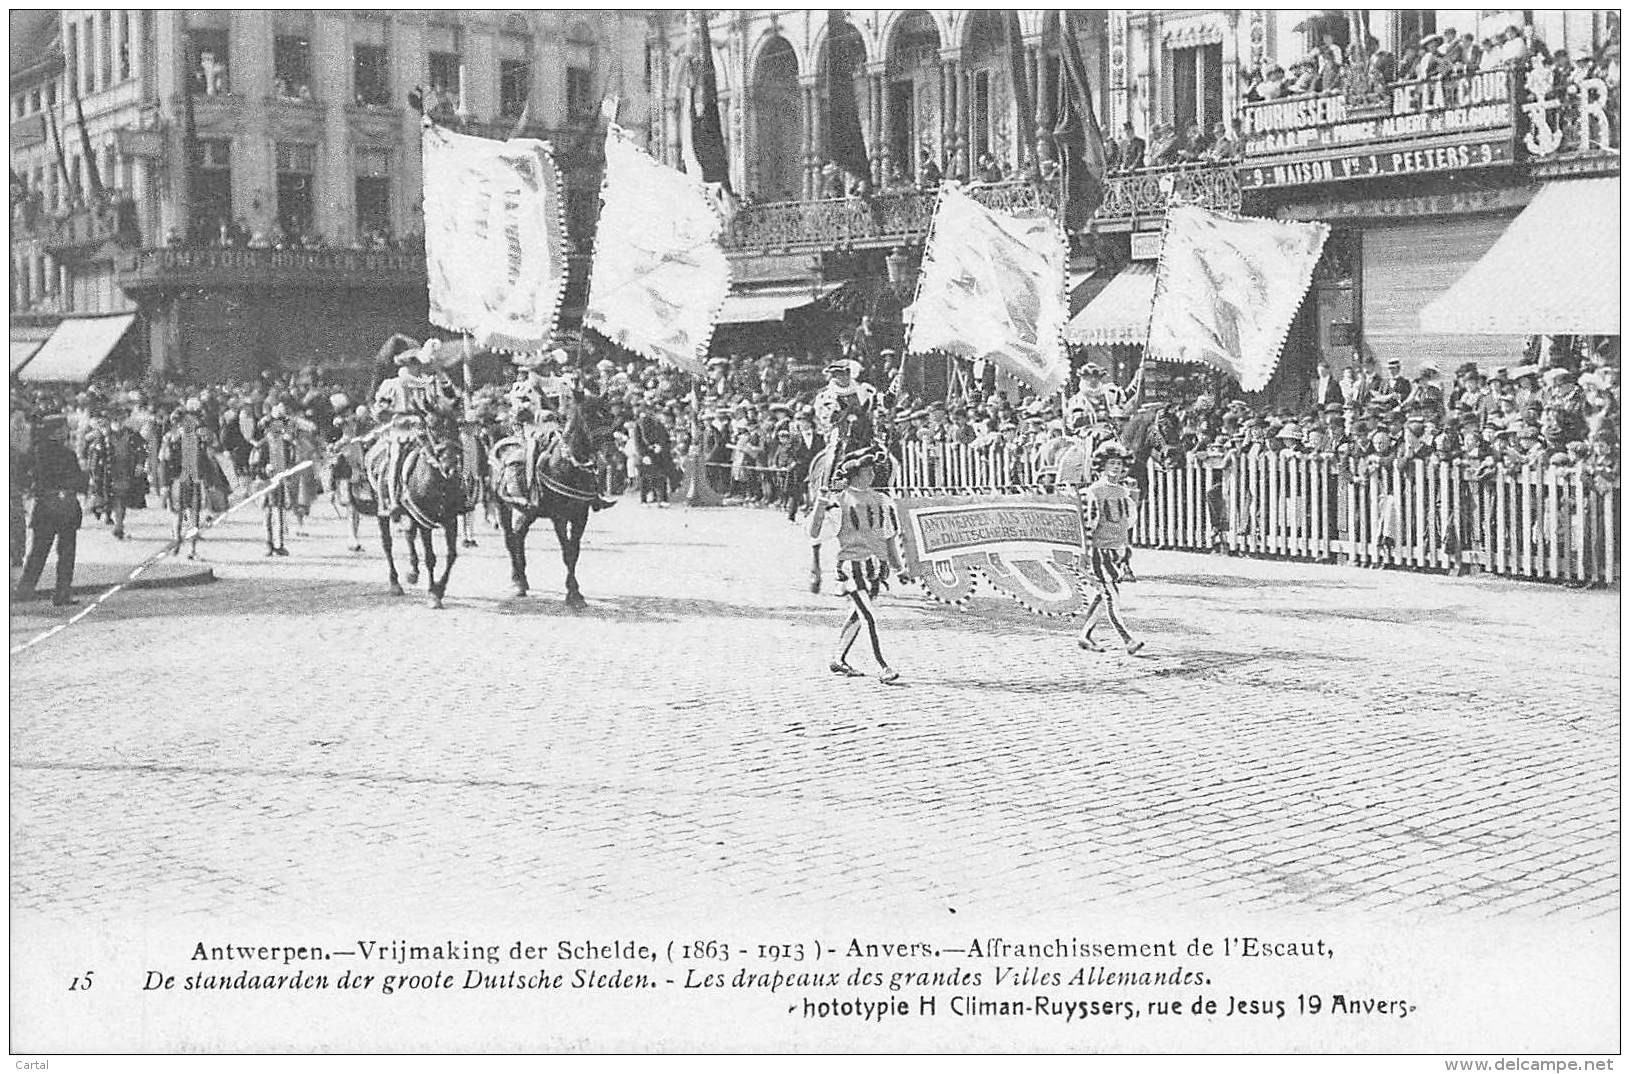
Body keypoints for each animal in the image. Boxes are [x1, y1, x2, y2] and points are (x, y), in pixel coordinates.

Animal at [365, 415, 472, 609]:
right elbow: (430, 557)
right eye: (432, 428)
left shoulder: (450, 520)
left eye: (456, 427)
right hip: (382, 510)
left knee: (409, 534)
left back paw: (413, 573)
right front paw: (433, 594)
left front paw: (439, 589)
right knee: (387, 544)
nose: (451, 468)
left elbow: (451, 555)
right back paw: (395, 584)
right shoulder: (425, 523)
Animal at [489, 387, 616, 609]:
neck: (569, 466)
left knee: (519, 536)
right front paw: (573, 594)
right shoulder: (559, 518)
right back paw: (517, 581)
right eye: (588, 416)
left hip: (528, 513)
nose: (610, 453)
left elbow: (574, 551)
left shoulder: (580, 516)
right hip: (502, 506)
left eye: (610, 415)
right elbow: (567, 552)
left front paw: (575, 592)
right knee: (510, 539)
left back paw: (523, 580)